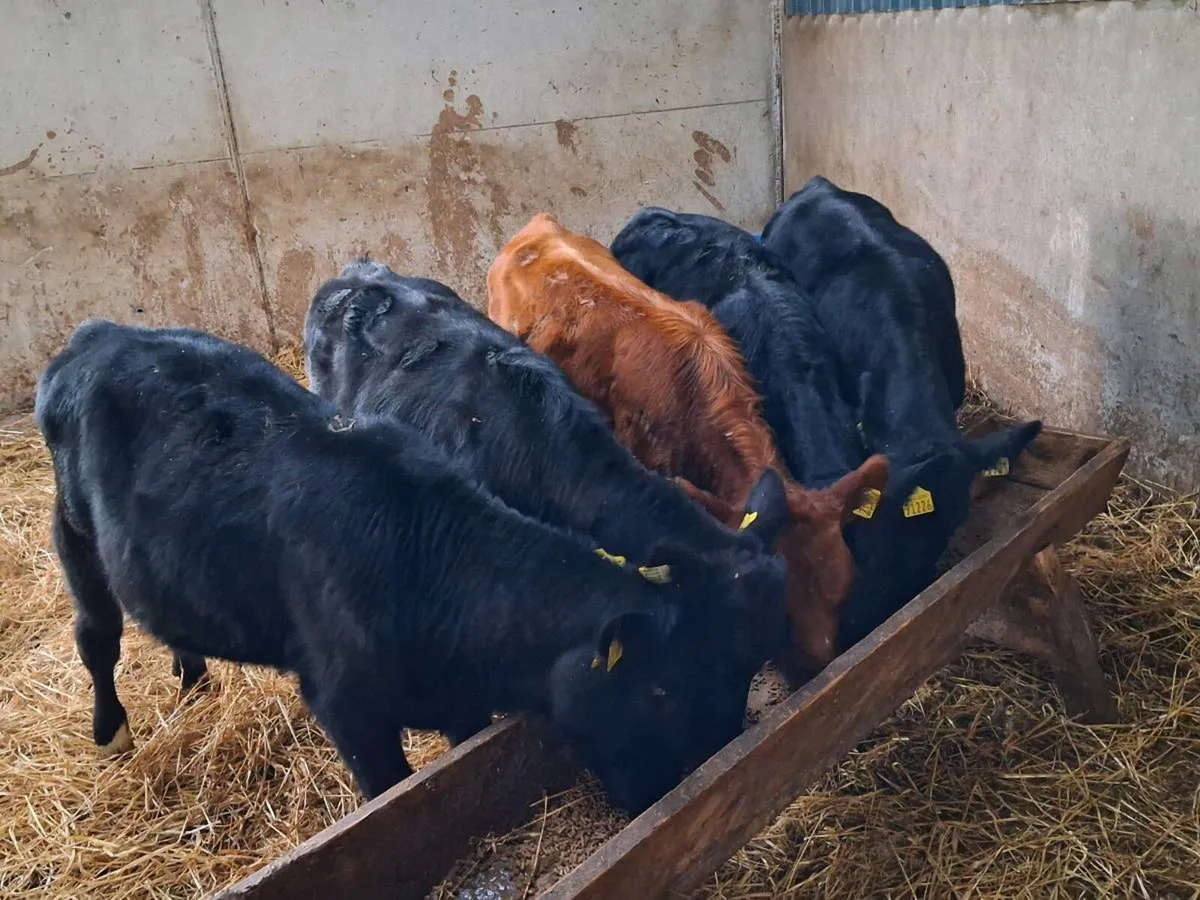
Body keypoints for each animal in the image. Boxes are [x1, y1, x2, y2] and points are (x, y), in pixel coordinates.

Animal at [35, 320, 791, 814]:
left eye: (754, 661)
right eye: (660, 689)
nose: (704, 765)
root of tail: (98, 336)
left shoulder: (465, 700)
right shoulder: (346, 708)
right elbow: (392, 793)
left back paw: (192, 677)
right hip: (74, 532)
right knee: (96, 636)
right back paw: (112, 733)